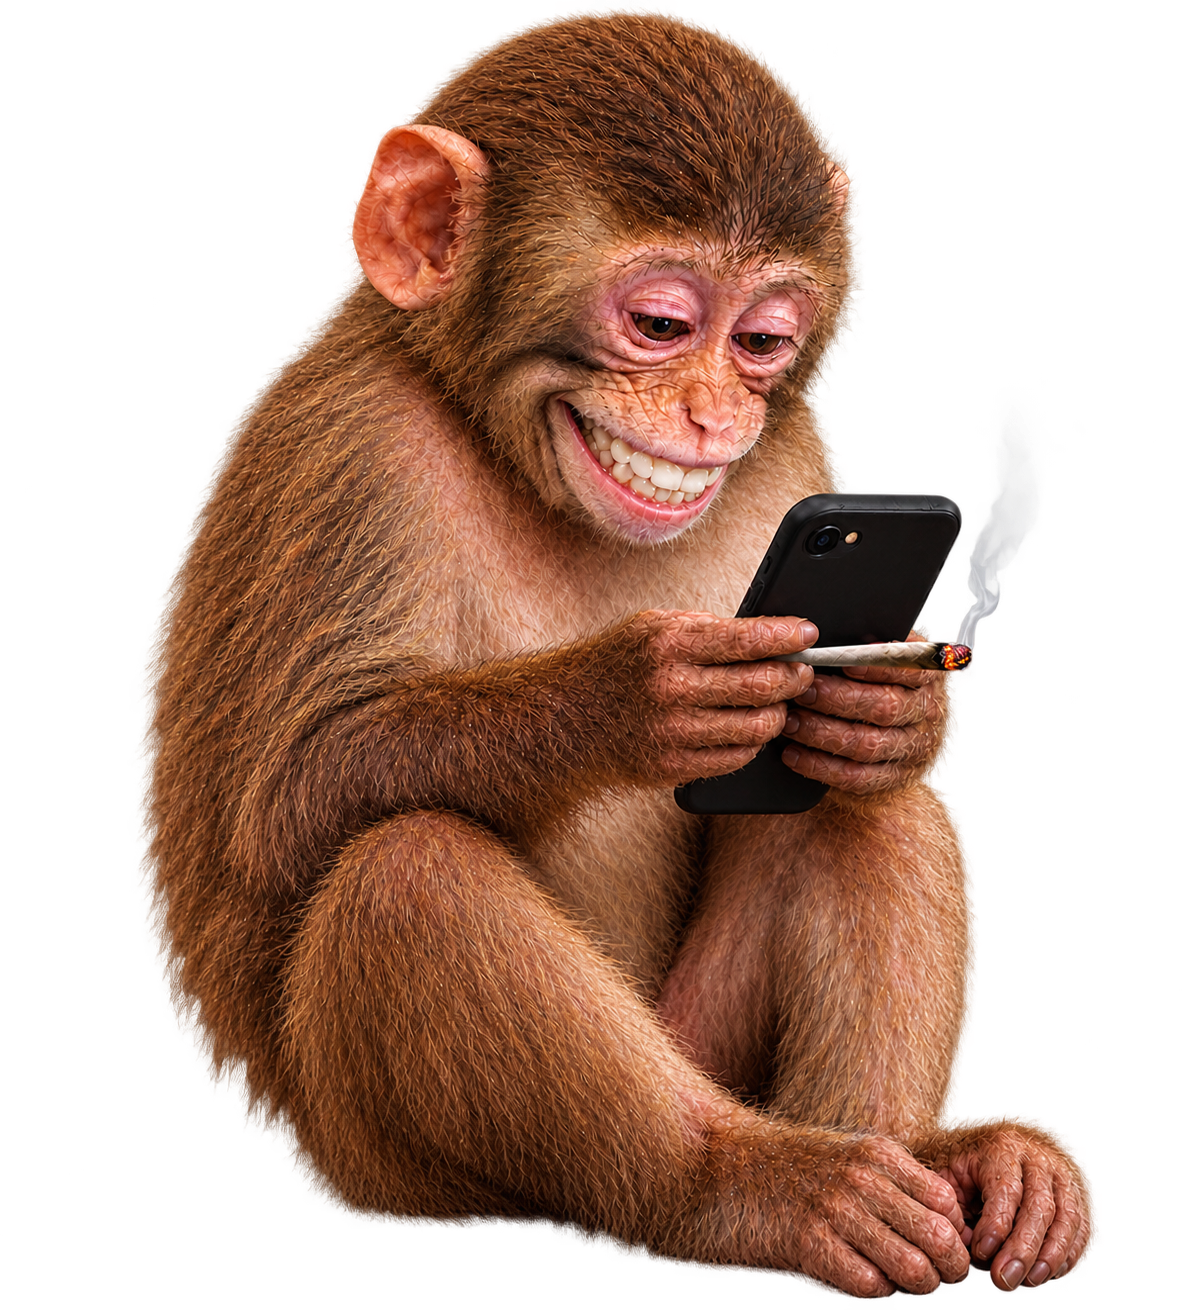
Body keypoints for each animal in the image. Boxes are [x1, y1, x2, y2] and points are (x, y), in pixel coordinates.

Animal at [138, 5, 1098, 1296]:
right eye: (659, 325)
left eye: (761, 341)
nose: (712, 414)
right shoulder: (344, 447)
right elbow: (284, 802)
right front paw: (625, 697)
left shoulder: (796, 457)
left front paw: (903, 707)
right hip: (384, 1166)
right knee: (408, 875)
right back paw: (737, 1190)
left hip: (704, 1038)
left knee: (861, 804)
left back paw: (927, 1150)